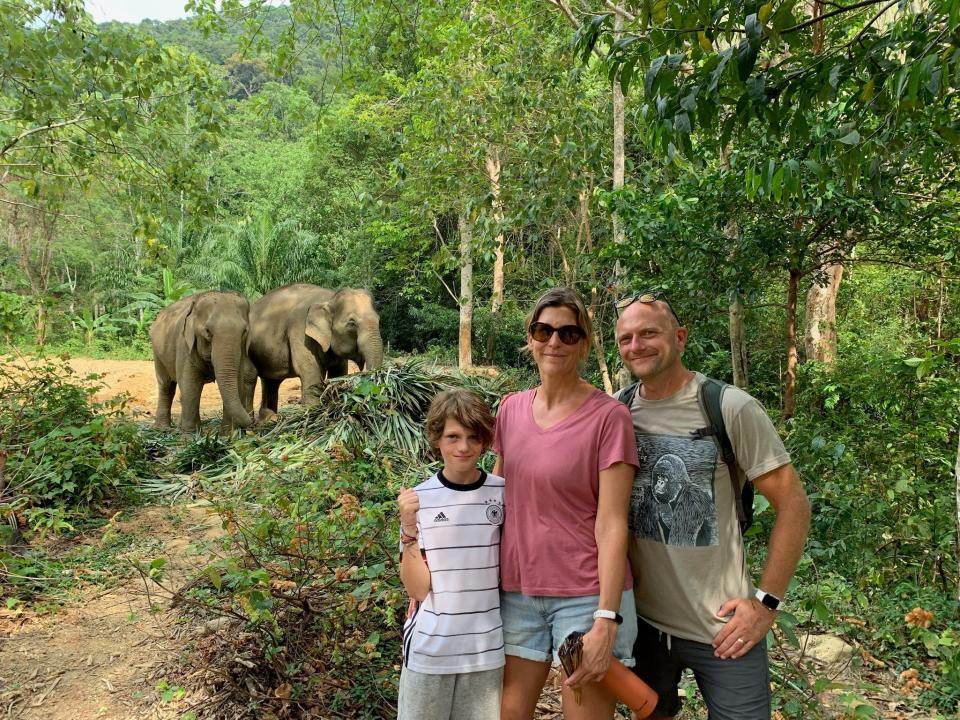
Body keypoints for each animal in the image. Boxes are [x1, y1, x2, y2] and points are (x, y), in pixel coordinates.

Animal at [150, 288, 255, 434]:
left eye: (244, 331)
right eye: (207, 331)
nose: (251, 423)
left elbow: (237, 382)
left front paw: (227, 435)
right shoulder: (185, 345)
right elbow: (190, 385)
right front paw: (190, 436)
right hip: (158, 354)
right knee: (166, 386)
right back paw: (162, 429)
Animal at [249, 282, 384, 416]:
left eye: (378, 319)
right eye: (351, 323)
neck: (329, 298)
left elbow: (339, 372)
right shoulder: (300, 332)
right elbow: (312, 374)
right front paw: (312, 413)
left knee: (270, 382)